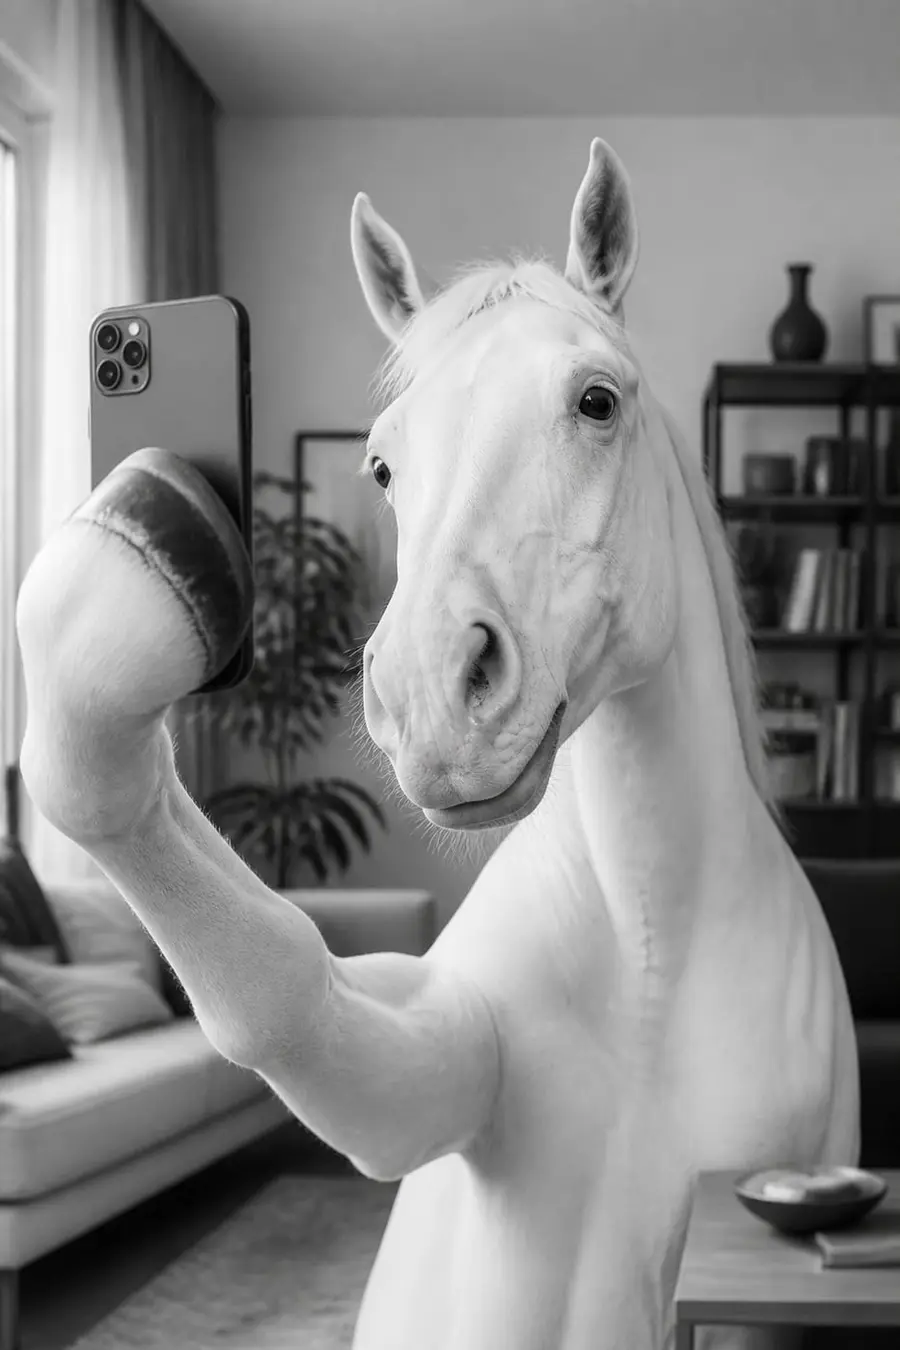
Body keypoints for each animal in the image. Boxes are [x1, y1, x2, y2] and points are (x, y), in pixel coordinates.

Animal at [16, 137, 858, 1350]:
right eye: (380, 465)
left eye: (596, 401)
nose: (428, 698)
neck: (647, 944)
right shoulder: (435, 1073)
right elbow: (278, 995)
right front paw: (140, 538)